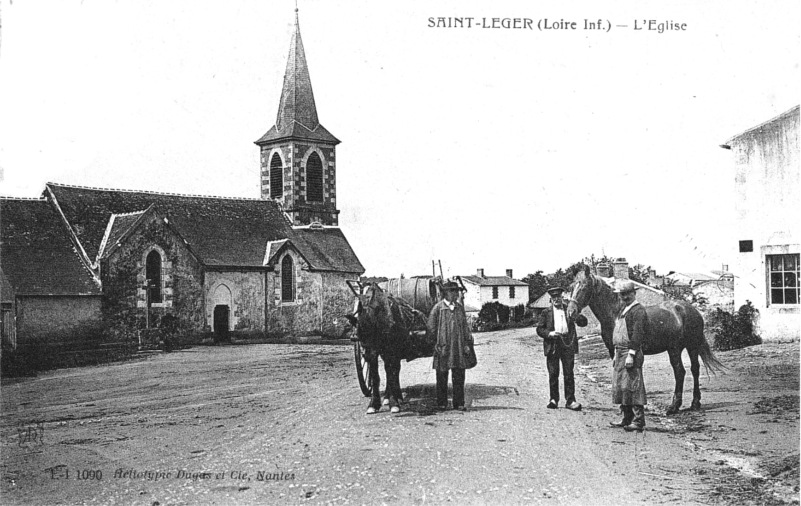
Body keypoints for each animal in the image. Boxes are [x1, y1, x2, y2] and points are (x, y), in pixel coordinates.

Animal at [346, 282, 434, 414]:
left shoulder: (391, 350)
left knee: (393, 370)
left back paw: (395, 396)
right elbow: (375, 376)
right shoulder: (372, 351)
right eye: (357, 317)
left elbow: (391, 373)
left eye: (379, 310)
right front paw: (374, 403)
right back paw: (389, 397)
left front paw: (394, 402)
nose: (356, 336)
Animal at [564, 264, 724, 416]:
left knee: (681, 372)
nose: (571, 312)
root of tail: (691, 309)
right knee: (694, 370)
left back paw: (675, 406)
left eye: (584, 286)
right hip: (686, 348)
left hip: (681, 348)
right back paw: (694, 403)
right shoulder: (612, 350)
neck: (617, 313)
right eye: (571, 287)